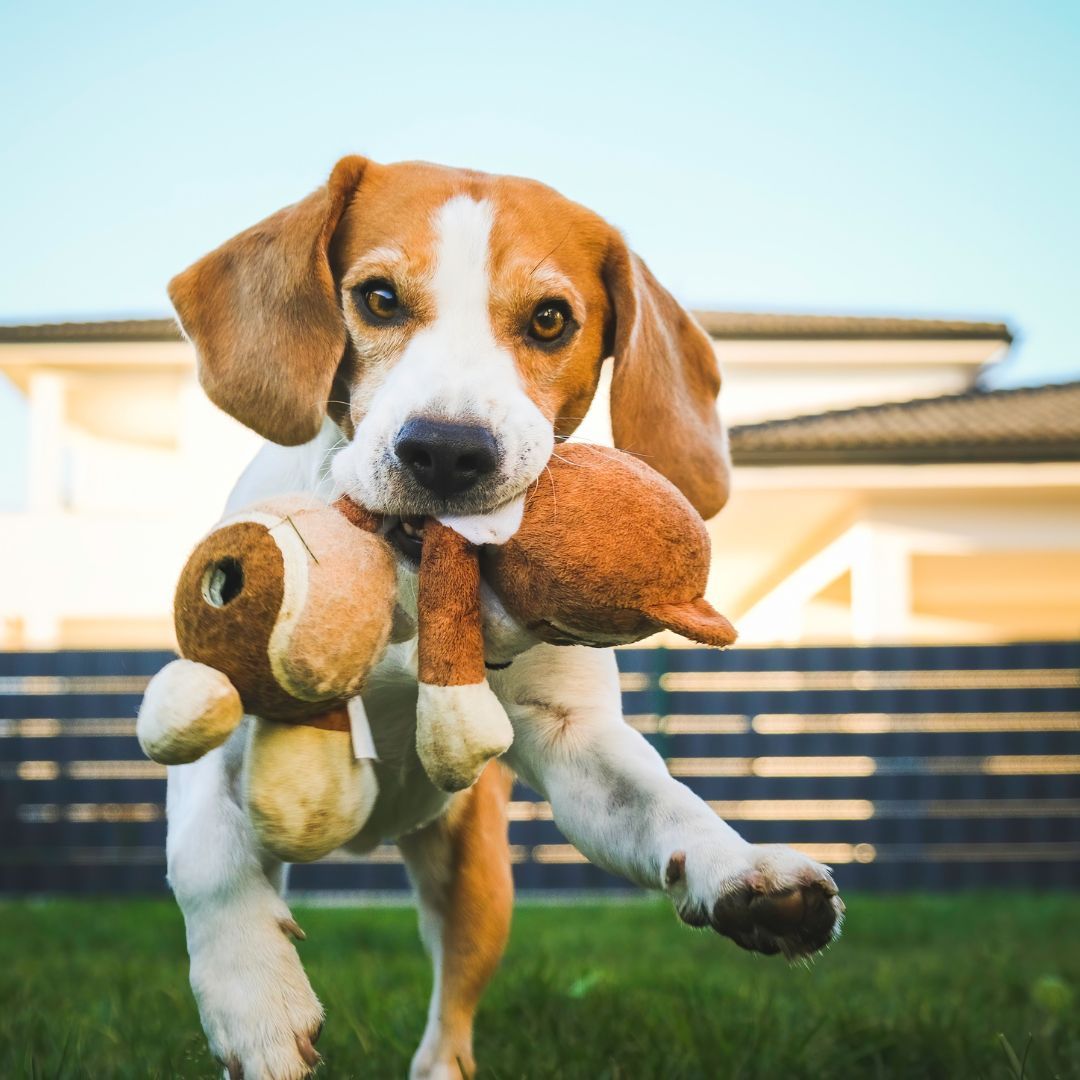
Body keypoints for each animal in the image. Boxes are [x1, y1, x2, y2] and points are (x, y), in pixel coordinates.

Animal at [168, 154, 842, 1080]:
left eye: (551, 319)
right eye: (378, 298)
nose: (447, 449)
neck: (412, 581)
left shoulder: (573, 742)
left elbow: (666, 803)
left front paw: (741, 872)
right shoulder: (216, 713)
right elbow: (203, 856)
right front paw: (253, 999)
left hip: (476, 879)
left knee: (451, 1008)